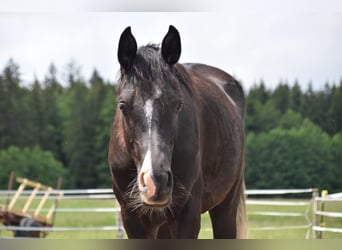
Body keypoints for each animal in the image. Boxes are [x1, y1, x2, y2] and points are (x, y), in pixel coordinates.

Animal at [108, 24, 247, 238]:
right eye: (122, 105)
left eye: (178, 105)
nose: (156, 181)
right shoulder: (132, 218)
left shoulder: (187, 216)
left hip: (226, 206)